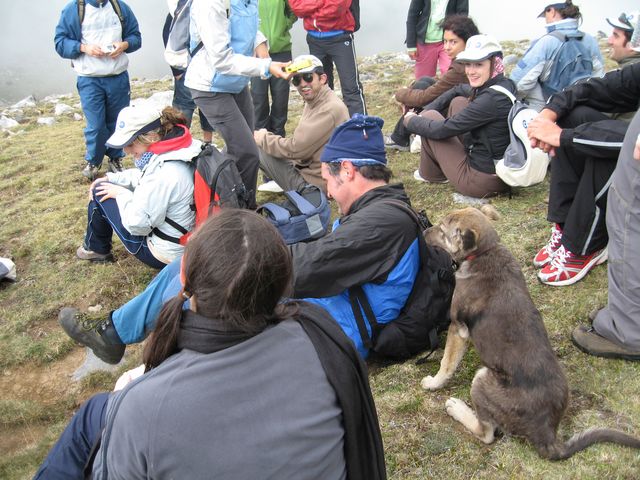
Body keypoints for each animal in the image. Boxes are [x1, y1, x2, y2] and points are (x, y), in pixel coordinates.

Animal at [420, 204, 640, 460]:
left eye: (442, 230)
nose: (423, 233)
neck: (485, 251)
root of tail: (547, 432)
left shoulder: (458, 328)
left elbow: (446, 363)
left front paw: (433, 383)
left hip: (482, 379)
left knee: (486, 434)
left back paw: (457, 408)